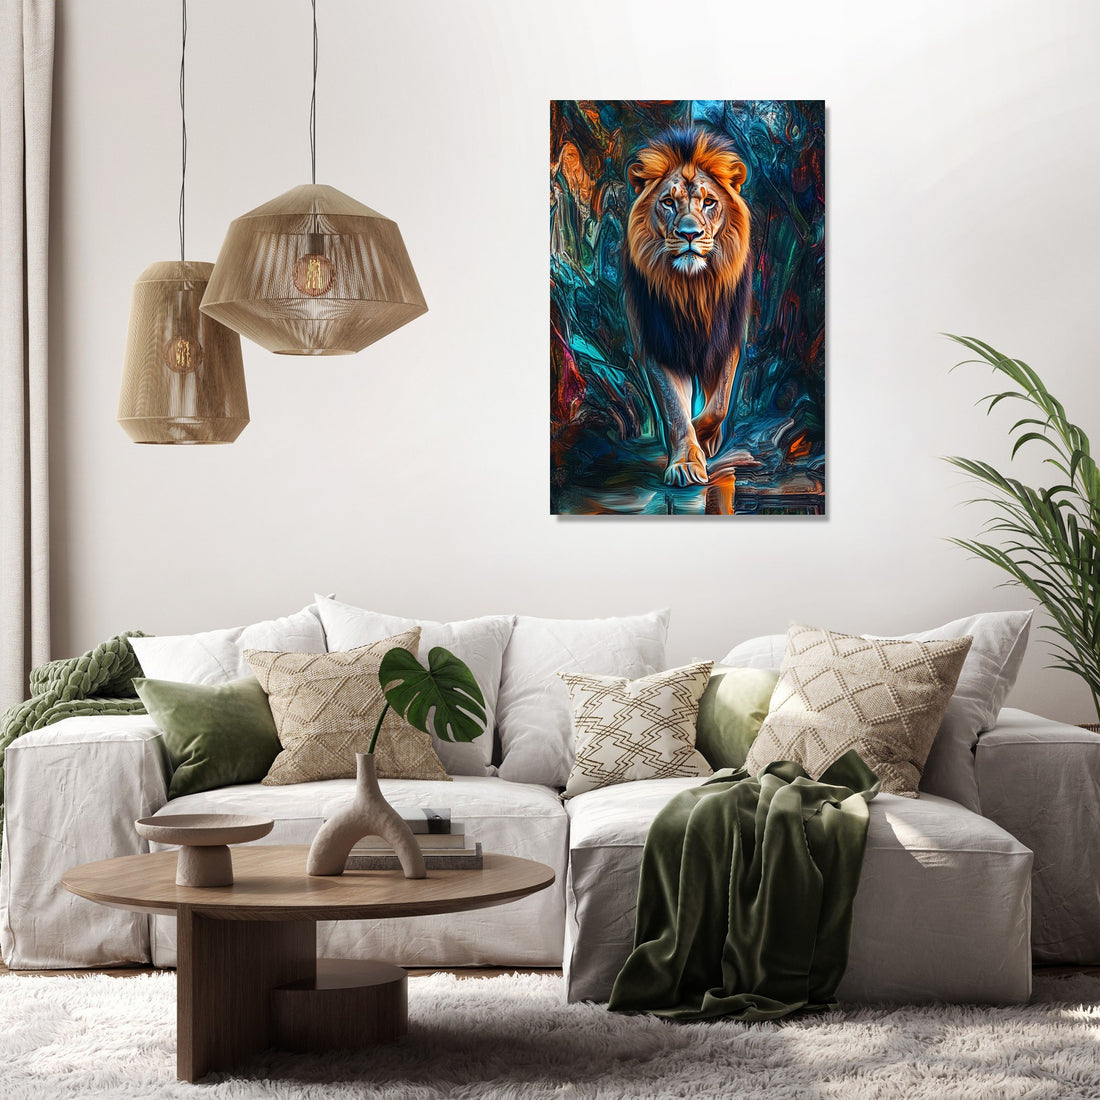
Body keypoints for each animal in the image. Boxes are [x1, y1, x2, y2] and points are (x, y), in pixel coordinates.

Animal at [624, 127, 752, 487]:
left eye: (709, 202)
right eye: (668, 202)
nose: (690, 234)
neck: (691, 290)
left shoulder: (727, 340)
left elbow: (719, 404)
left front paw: (703, 438)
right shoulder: (657, 344)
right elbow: (674, 410)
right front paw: (684, 461)